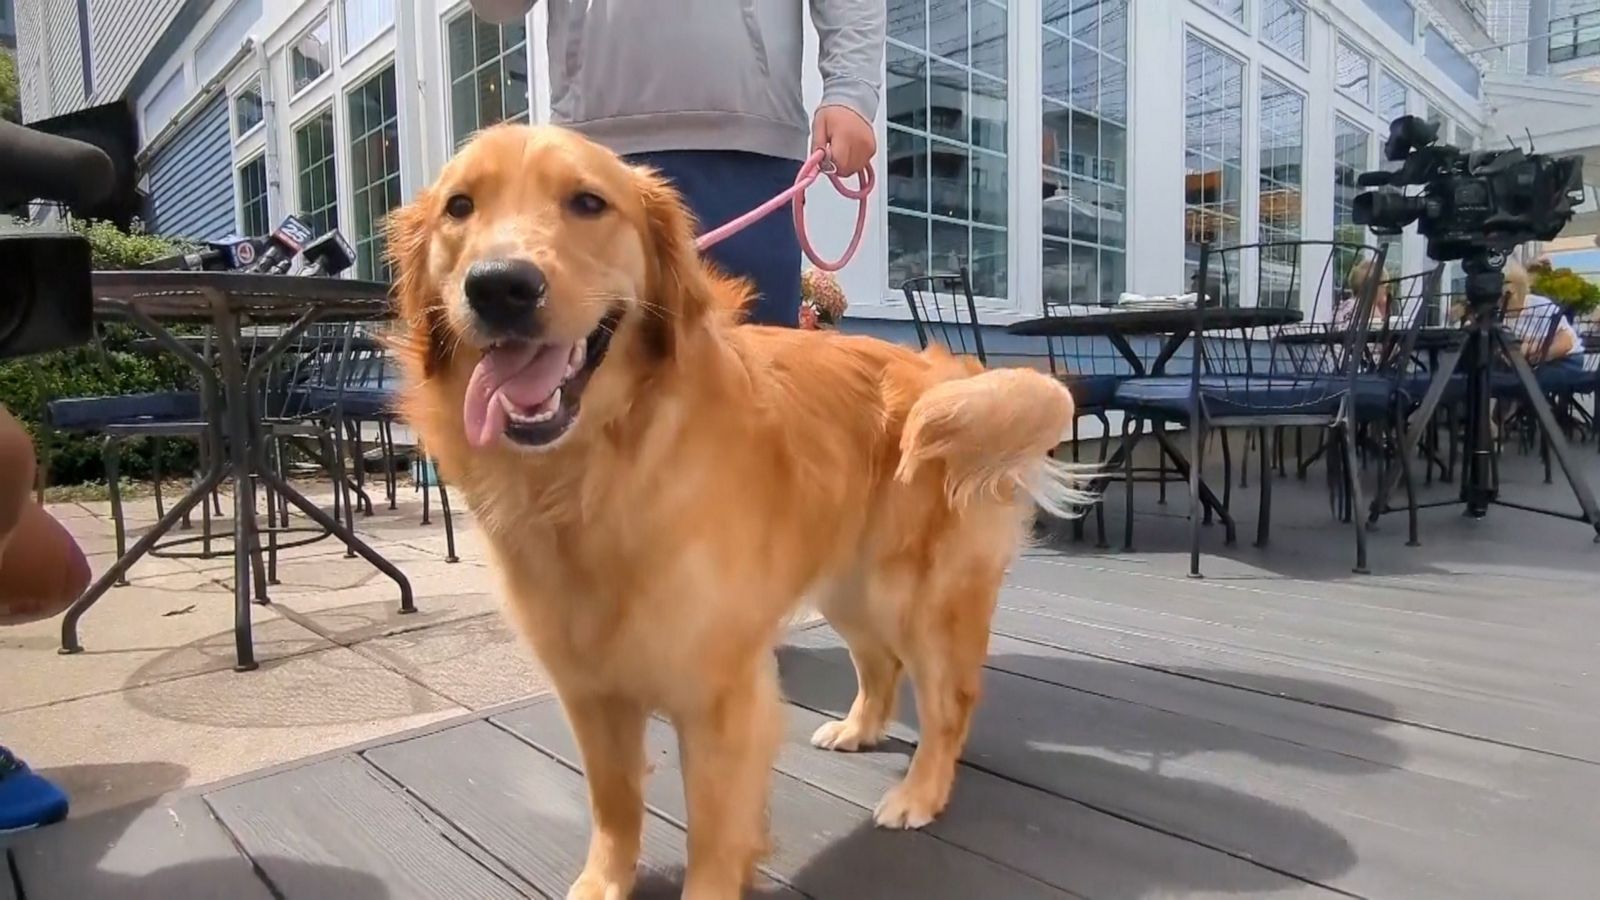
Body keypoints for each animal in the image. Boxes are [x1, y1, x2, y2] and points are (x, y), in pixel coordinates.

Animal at [387, 122, 1088, 890]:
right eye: (459, 207)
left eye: (587, 202)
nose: (500, 286)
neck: (596, 475)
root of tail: (946, 368)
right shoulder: (590, 691)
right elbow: (613, 803)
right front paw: (603, 882)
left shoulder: (720, 695)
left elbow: (716, 835)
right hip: (850, 587)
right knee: (880, 663)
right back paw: (858, 728)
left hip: (918, 599)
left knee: (949, 701)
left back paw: (920, 793)